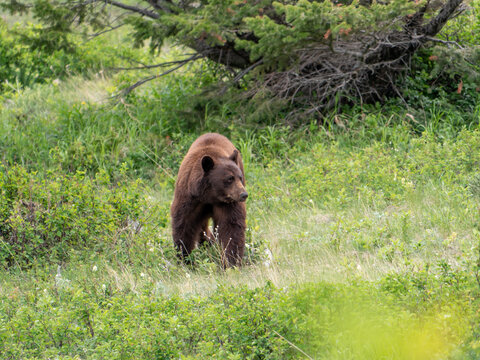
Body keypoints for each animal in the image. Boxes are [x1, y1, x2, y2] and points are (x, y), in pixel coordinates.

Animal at [171, 133, 248, 268]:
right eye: (229, 178)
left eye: (240, 177)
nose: (243, 194)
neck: (210, 195)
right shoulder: (190, 198)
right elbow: (184, 224)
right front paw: (185, 257)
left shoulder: (227, 203)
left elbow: (231, 226)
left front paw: (231, 261)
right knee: (202, 227)